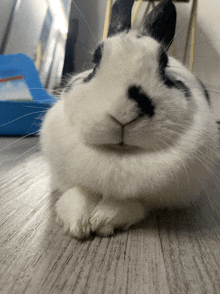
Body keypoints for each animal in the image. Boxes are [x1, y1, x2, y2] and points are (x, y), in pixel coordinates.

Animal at [40, 0, 219, 239]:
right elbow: (78, 191)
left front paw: (102, 220)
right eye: (95, 60)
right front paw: (76, 223)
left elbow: (133, 204)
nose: (123, 112)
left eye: (164, 65)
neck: (119, 157)